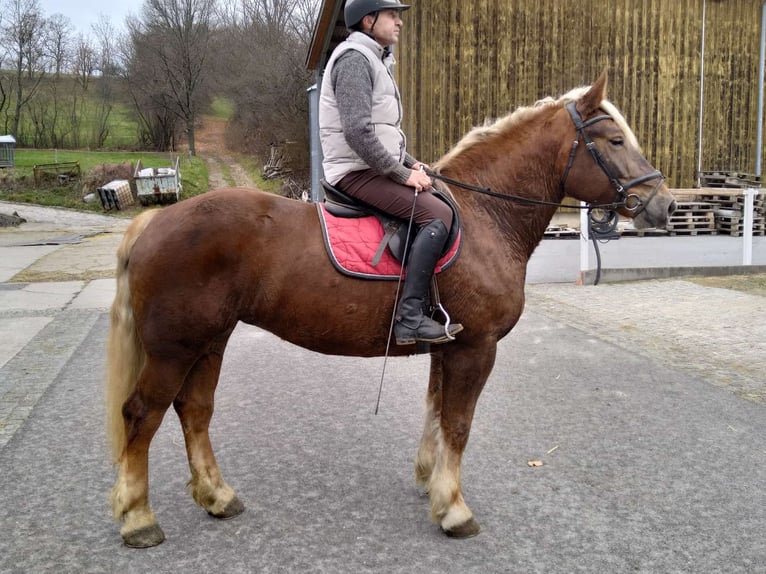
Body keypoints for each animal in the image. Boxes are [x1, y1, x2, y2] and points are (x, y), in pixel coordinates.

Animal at [106, 74, 680, 548]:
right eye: (614, 141)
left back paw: (217, 496)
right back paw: (138, 519)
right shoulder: (477, 348)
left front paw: (431, 483)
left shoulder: (448, 344)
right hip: (174, 349)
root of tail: (155, 221)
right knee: (142, 414)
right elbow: (459, 423)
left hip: (210, 341)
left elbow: (436, 412)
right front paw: (454, 509)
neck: (484, 216)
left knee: (194, 411)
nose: (665, 204)